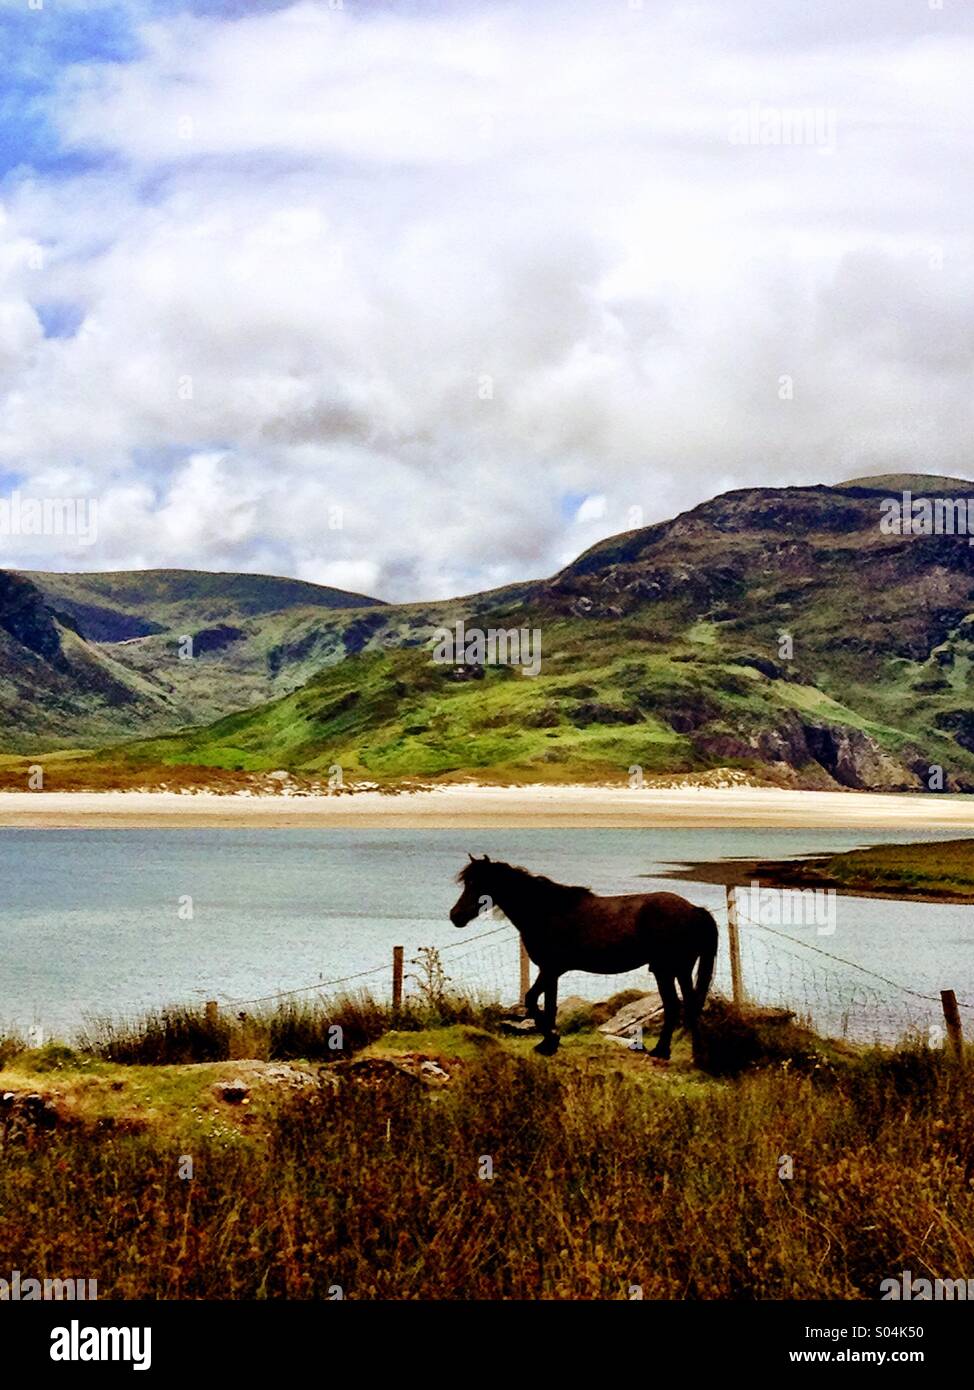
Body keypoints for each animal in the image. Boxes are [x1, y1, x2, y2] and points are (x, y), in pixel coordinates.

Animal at [449, 855, 719, 1058]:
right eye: (466, 883)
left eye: (479, 884)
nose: (455, 916)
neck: (545, 911)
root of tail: (695, 910)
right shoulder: (552, 972)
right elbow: (549, 1005)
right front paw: (548, 1043)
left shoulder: (549, 969)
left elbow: (532, 1000)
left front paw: (551, 1040)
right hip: (679, 970)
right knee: (688, 1005)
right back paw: (690, 1054)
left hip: (667, 970)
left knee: (676, 1005)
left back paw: (663, 1052)